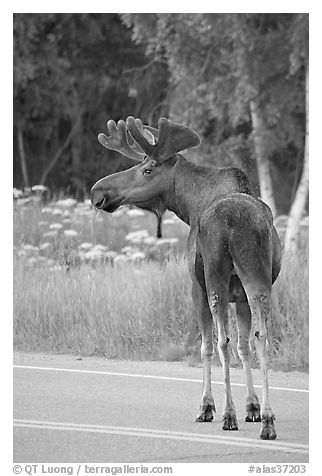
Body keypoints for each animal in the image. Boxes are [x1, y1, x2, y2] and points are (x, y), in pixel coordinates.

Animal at [91, 115, 282, 438]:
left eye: (147, 169)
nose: (98, 192)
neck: (190, 206)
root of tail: (233, 224)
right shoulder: (241, 296)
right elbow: (244, 345)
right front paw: (253, 407)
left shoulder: (196, 286)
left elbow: (207, 346)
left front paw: (208, 407)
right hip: (257, 279)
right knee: (262, 337)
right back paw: (268, 421)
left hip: (215, 278)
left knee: (221, 342)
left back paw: (228, 415)